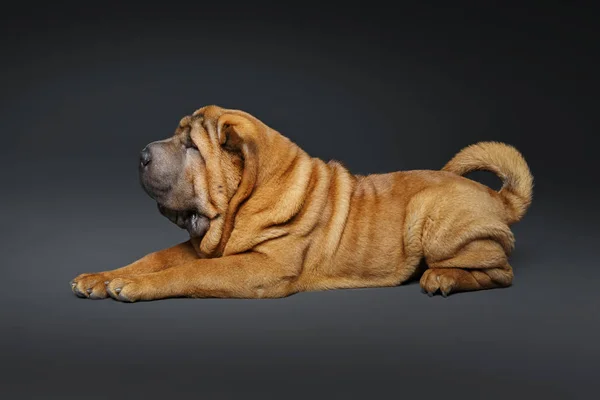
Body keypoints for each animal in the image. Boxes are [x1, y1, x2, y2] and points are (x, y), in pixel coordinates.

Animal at [70, 104, 536, 302]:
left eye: (192, 147)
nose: (141, 154)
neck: (246, 200)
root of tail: (497, 196)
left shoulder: (261, 269)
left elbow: (189, 274)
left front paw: (132, 286)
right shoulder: (202, 247)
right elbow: (154, 258)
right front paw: (100, 277)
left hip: (431, 218)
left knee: (501, 272)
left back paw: (443, 277)